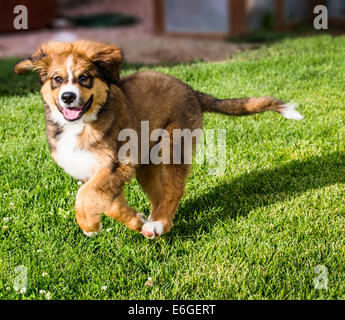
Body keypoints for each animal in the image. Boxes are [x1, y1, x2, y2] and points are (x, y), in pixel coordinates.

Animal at [14, 40, 302, 239]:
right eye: (57, 80)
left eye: (84, 78)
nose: (68, 97)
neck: (80, 124)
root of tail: (192, 92)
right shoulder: (94, 172)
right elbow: (106, 202)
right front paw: (135, 220)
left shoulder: (116, 164)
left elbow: (84, 196)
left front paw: (89, 226)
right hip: (147, 162)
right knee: (159, 192)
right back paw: (154, 221)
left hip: (173, 145)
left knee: (174, 189)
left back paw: (161, 222)